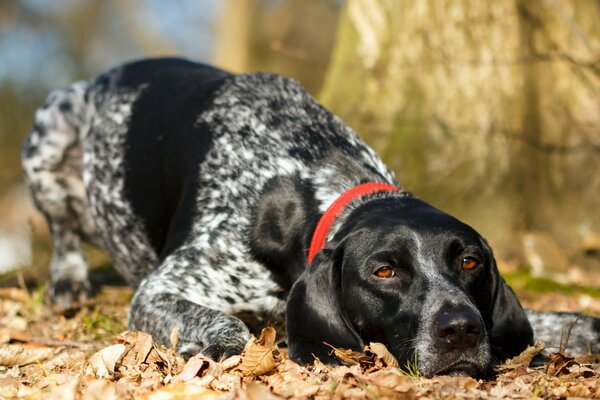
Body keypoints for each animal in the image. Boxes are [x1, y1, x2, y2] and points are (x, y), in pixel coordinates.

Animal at [21, 57, 596, 376]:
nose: (461, 329)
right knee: (63, 231)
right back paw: (68, 281)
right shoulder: (159, 291)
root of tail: (107, 75)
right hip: (49, 131)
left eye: (470, 263)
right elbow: (230, 327)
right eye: (384, 271)